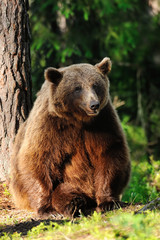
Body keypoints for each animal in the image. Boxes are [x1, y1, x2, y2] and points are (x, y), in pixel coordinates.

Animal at [9, 57, 131, 217]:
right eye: (77, 88)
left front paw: (108, 202)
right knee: (63, 190)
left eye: (95, 85)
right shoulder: (50, 126)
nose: (94, 104)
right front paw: (47, 209)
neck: (79, 120)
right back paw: (74, 203)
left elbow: (109, 154)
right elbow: (36, 159)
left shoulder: (102, 123)